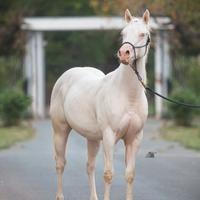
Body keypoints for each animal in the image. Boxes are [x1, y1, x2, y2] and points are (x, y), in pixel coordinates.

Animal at [50, 8, 150, 199]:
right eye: (123, 33)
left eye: (143, 34)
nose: (124, 53)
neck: (128, 95)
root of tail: (65, 76)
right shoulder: (109, 136)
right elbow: (109, 174)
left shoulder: (135, 138)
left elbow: (130, 174)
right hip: (61, 130)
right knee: (60, 164)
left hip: (93, 138)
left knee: (89, 166)